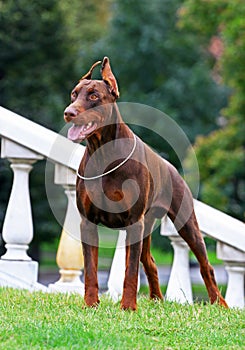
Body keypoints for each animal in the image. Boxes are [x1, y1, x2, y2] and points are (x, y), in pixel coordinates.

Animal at [63, 58, 228, 312]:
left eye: (94, 96)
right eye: (74, 93)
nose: (68, 113)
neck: (103, 154)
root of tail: (172, 169)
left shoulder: (133, 222)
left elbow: (130, 270)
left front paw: (128, 306)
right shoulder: (88, 222)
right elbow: (91, 269)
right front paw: (91, 304)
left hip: (184, 223)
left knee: (205, 265)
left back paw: (219, 303)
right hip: (145, 228)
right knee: (149, 261)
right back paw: (156, 299)